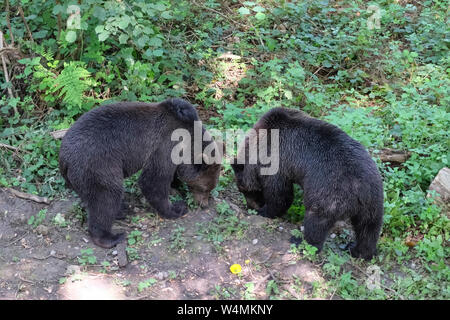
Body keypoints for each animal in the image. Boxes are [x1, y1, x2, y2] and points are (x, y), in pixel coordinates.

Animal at [59, 99, 221, 249]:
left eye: (210, 188)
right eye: (204, 188)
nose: (204, 205)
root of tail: (64, 158)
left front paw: (176, 187)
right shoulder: (164, 145)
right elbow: (153, 180)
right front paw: (176, 208)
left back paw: (121, 210)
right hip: (98, 165)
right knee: (106, 196)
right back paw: (111, 236)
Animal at [232, 107, 384, 260]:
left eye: (243, 189)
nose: (250, 206)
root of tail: (360, 189)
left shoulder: (276, 162)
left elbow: (280, 196)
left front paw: (264, 211)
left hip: (328, 193)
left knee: (316, 222)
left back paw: (301, 242)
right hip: (374, 200)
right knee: (368, 228)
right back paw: (357, 250)